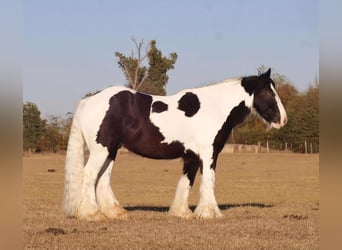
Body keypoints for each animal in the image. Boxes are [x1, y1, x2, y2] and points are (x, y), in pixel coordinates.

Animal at [62, 68, 288, 221]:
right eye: (269, 93)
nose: (283, 120)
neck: (215, 108)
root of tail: (89, 101)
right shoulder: (209, 154)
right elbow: (209, 180)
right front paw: (210, 213)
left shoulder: (192, 157)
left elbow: (186, 182)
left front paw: (182, 212)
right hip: (101, 150)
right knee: (89, 175)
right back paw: (91, 214)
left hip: (111, 151)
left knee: (102, 178)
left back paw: (115, 213)